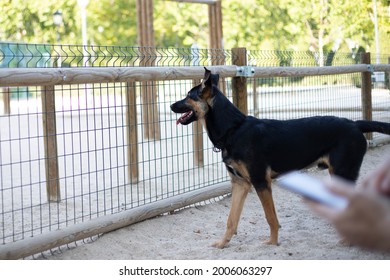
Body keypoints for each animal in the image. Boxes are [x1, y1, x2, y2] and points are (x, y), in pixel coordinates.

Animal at [171, 69, 390, 248]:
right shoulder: (240, 184)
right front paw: (223, 243)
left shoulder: (261, 182)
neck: (234, 129)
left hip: (342, 174)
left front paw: (272, 243)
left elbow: (271, 218)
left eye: (188, 96)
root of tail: (355, 124)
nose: (172, 105)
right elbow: (231, 220)